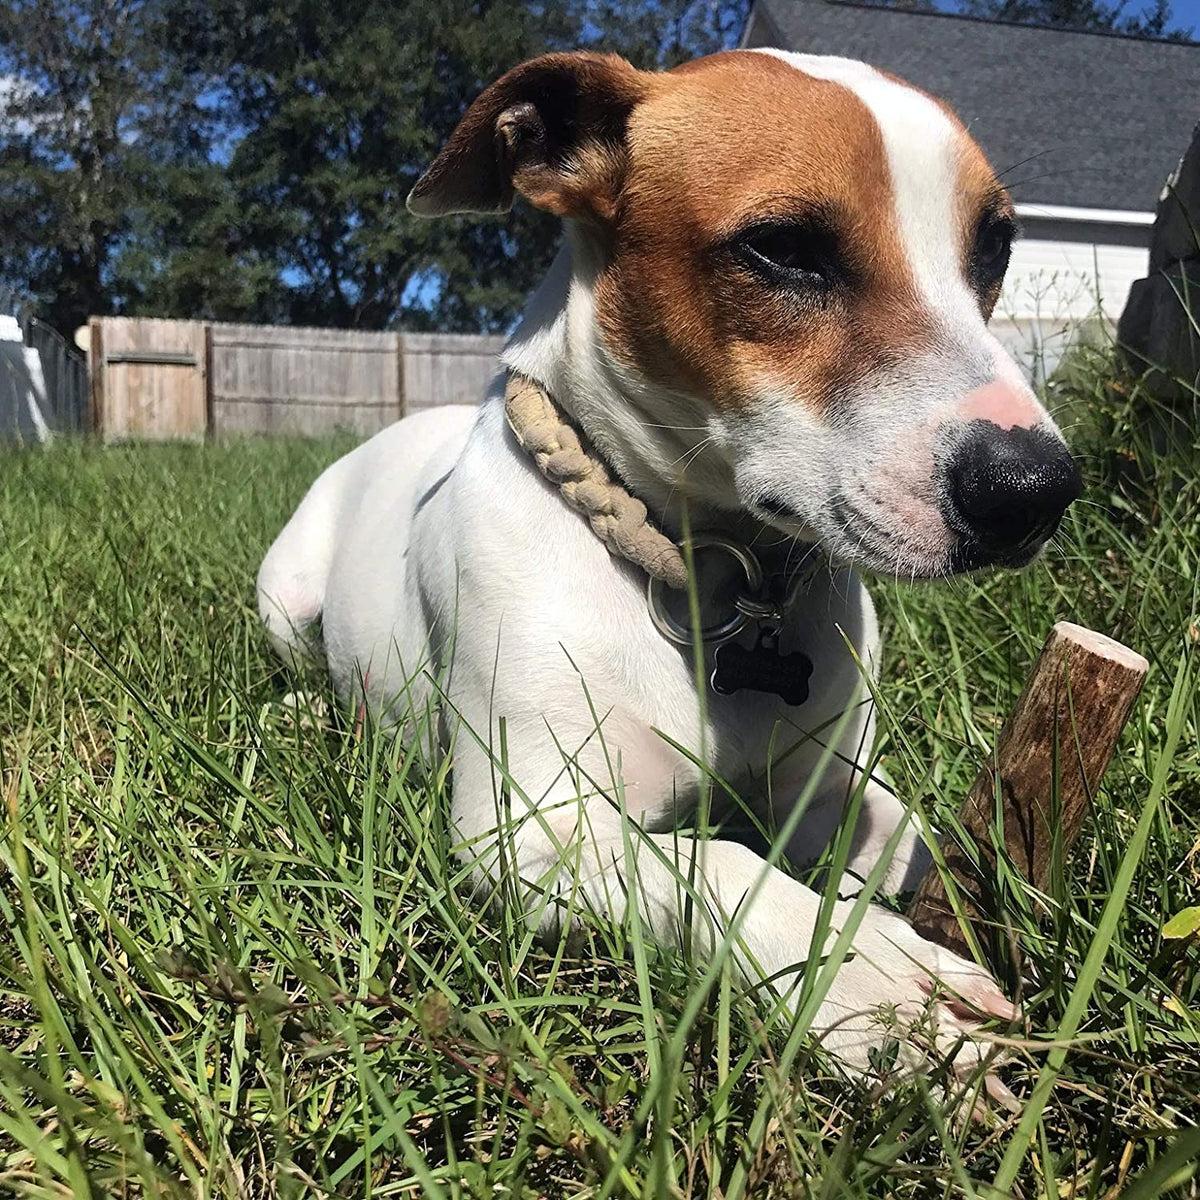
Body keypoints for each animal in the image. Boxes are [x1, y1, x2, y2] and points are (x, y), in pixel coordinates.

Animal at [258, 49, 1084, 1089]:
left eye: (996, 248)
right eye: (784, 248)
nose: (1036, 488)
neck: (716, 582)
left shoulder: (824, 790)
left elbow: (922, 841)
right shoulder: (530, 833)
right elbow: (719, 863)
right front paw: (874, 983)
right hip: (284, 593)